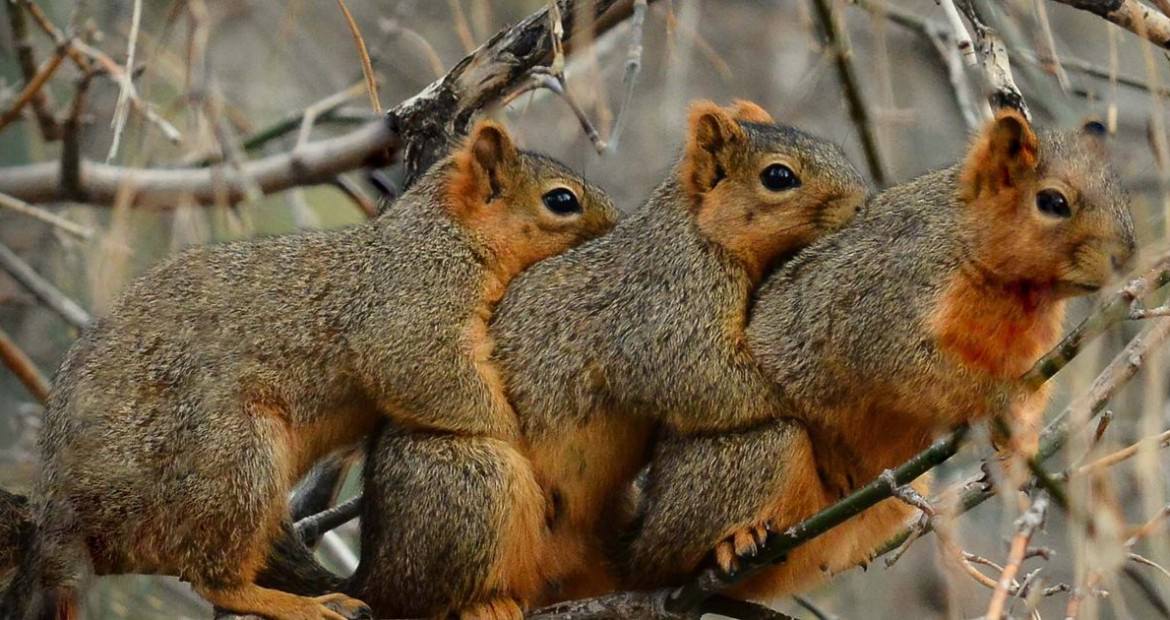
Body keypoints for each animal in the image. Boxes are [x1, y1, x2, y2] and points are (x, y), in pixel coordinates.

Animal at [0, 120, 616, 620]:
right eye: (562, 200)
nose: (616, 229)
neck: (443, 232)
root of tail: (64, 509)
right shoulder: (409, 304)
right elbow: (426, 373)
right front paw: (526, 451)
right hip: (232, 458)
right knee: (211, 576)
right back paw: (293, 602)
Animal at [261, 99, 869, 616]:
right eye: (778, 177)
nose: (861, 203)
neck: (696, 229)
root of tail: (371, 573)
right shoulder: (664, 306)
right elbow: (703, 377)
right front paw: (832, 439)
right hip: (465, 486)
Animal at [622, 110, 1137, 599]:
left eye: (1120, 194)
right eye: (1053, 202)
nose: (1125, 259)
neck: (1021, 294)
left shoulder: (1034, 350)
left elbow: (1034, 393)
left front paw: (1019, 447)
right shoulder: (882, 305)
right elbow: (916, 372)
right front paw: (995, 401)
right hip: (739, 461)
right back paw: (732, 540)